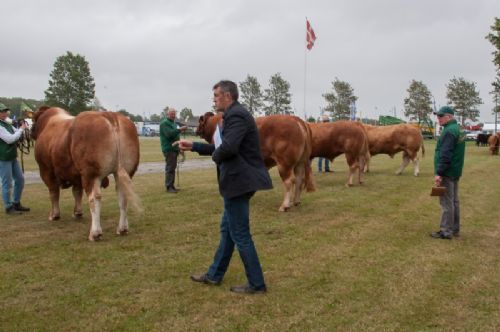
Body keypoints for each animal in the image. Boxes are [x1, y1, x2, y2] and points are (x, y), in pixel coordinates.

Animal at [31, 107, 141, 240]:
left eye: (33, 121)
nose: (30, 133)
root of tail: (109, 114)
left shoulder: (46, 170)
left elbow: (54, 192)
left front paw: (54, 215)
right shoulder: (76, 175)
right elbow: (77, 192)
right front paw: (77, 212)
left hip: (91, 174)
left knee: (94, 198)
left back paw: (95, 233)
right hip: (125, 171)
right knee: (122, 196)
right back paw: (122, 229)